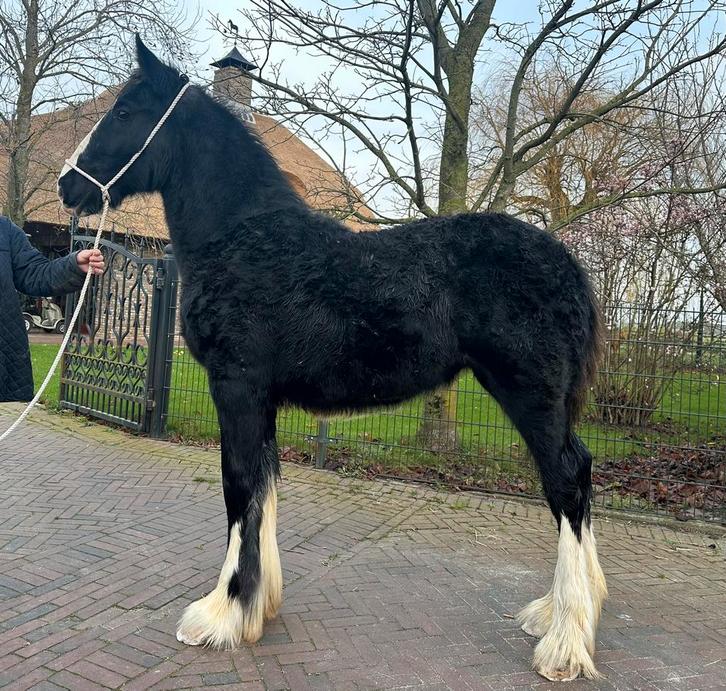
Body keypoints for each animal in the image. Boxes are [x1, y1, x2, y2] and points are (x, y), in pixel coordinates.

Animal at [58, 36, 607, 682]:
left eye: (124, 112)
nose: (67, 186)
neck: (241, 235)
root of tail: (567, 265)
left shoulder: (236, 388)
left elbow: (238, 487)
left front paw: (219, 615)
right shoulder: (261, 400)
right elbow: (264, 486)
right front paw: (257, 606)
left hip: (529, 395)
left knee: (567, 481)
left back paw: (564, 642)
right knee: (580, 477)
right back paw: (557, 615)